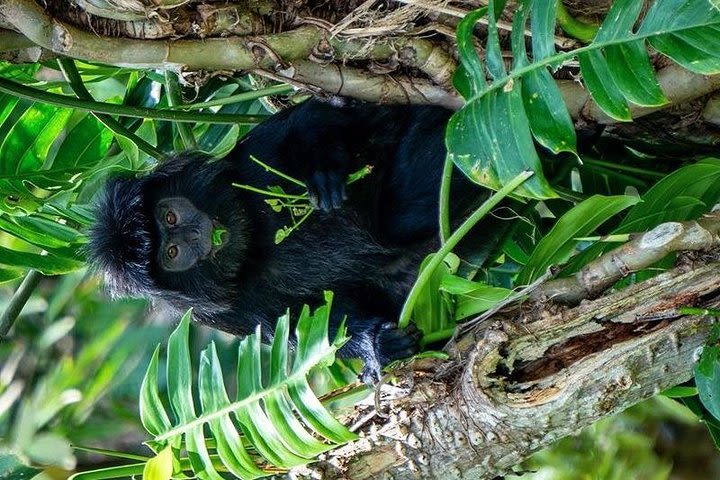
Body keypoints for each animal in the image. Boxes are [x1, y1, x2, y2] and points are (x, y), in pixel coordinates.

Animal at [87, 98, 478, 382]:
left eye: (170, 217)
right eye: (171, 252)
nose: (193, 235)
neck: (254, 240)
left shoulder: (249, 161)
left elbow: (314, 118)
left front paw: (323, 167)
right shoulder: (226, 313)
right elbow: (308, 323)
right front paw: (376, 345)